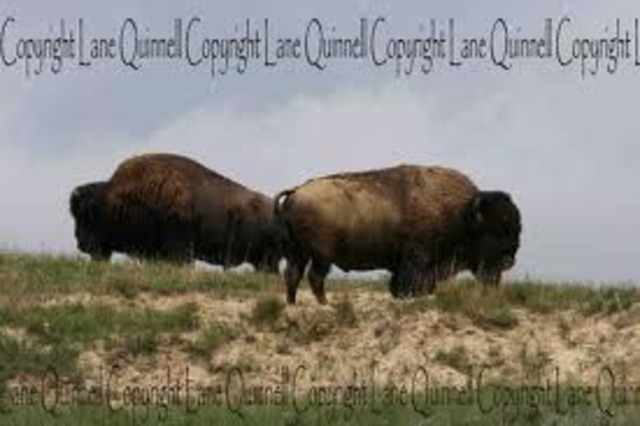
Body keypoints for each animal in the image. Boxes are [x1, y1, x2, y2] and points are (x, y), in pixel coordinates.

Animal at [275, 164, 521, 304]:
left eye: (516, 228)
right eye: (495, 232)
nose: (509, 260)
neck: (461, 213)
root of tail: (296, 191)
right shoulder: (417, 260)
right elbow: (409, 282)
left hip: (298, 252)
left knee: (293, 275)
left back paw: (293, 304)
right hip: (321, 256)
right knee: (314, 278)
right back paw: (325, 304)